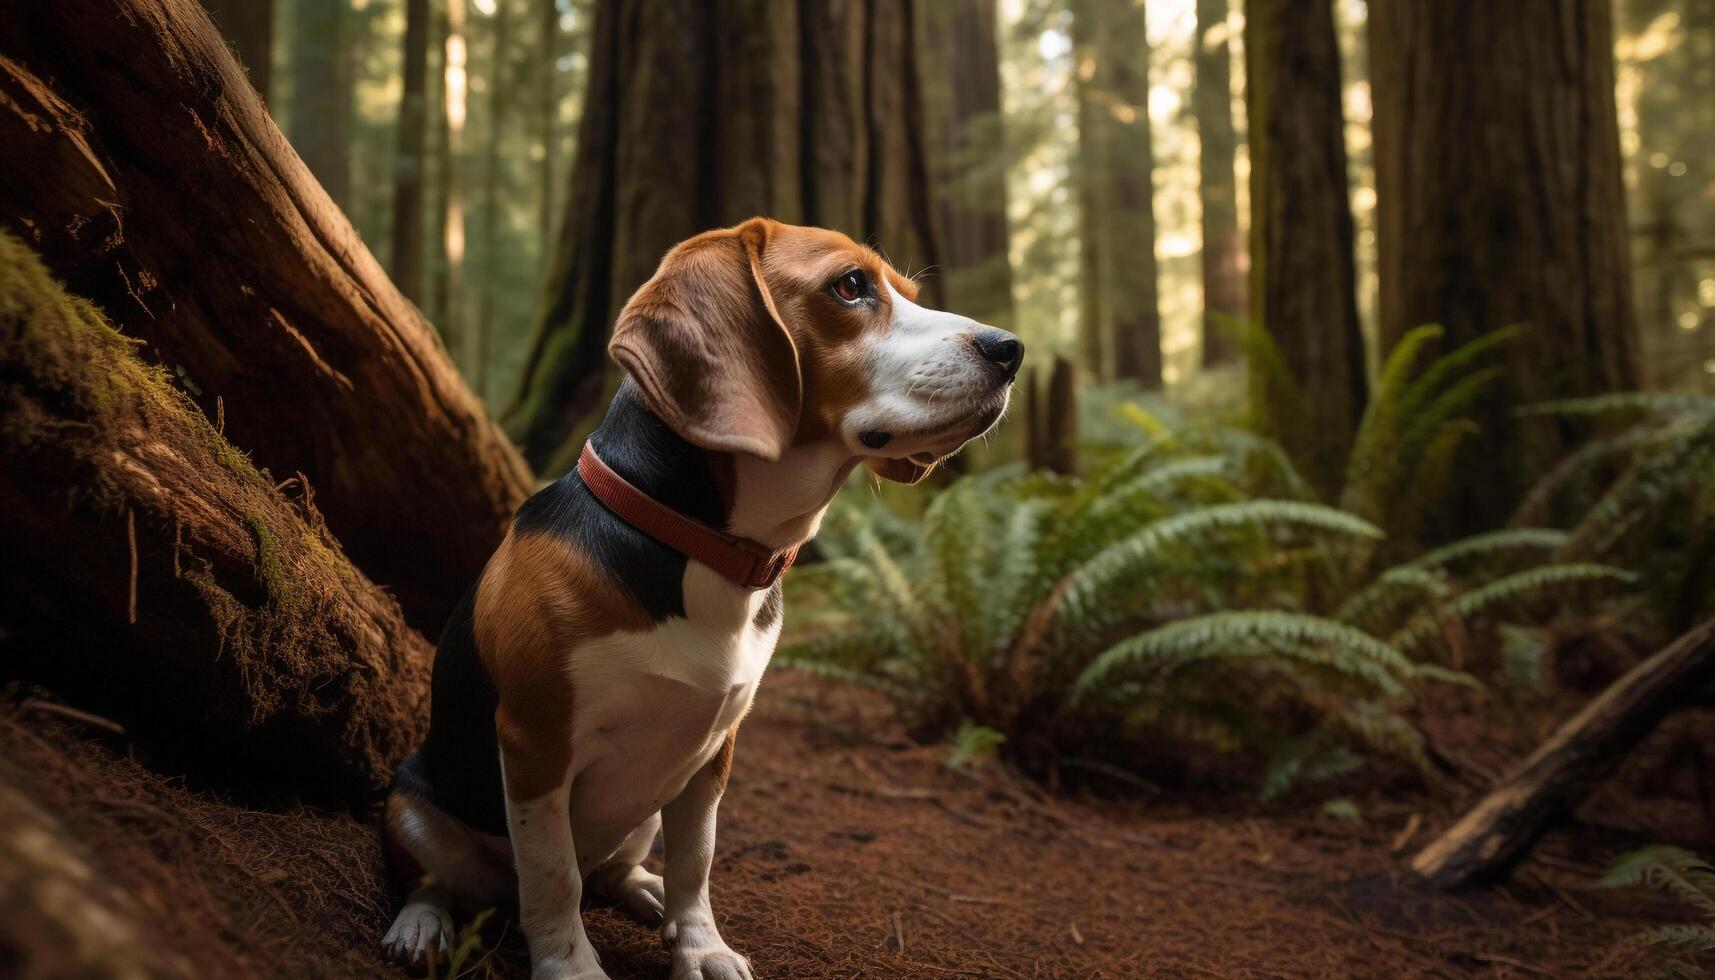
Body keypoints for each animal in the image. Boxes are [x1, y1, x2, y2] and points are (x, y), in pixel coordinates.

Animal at [382, 218, 1022, 974]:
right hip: (410, 804)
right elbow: (552, 875)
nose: (1011, 350)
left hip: (639, 816)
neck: (703, 550)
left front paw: (699, 945)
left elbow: (697, 859)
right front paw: (571, 966)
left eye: (907, 294)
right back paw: (421, 924)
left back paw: (642, 889)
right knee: (439, 877)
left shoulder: (713, 751)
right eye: (851, 286)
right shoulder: (534, 745)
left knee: (610, 869)